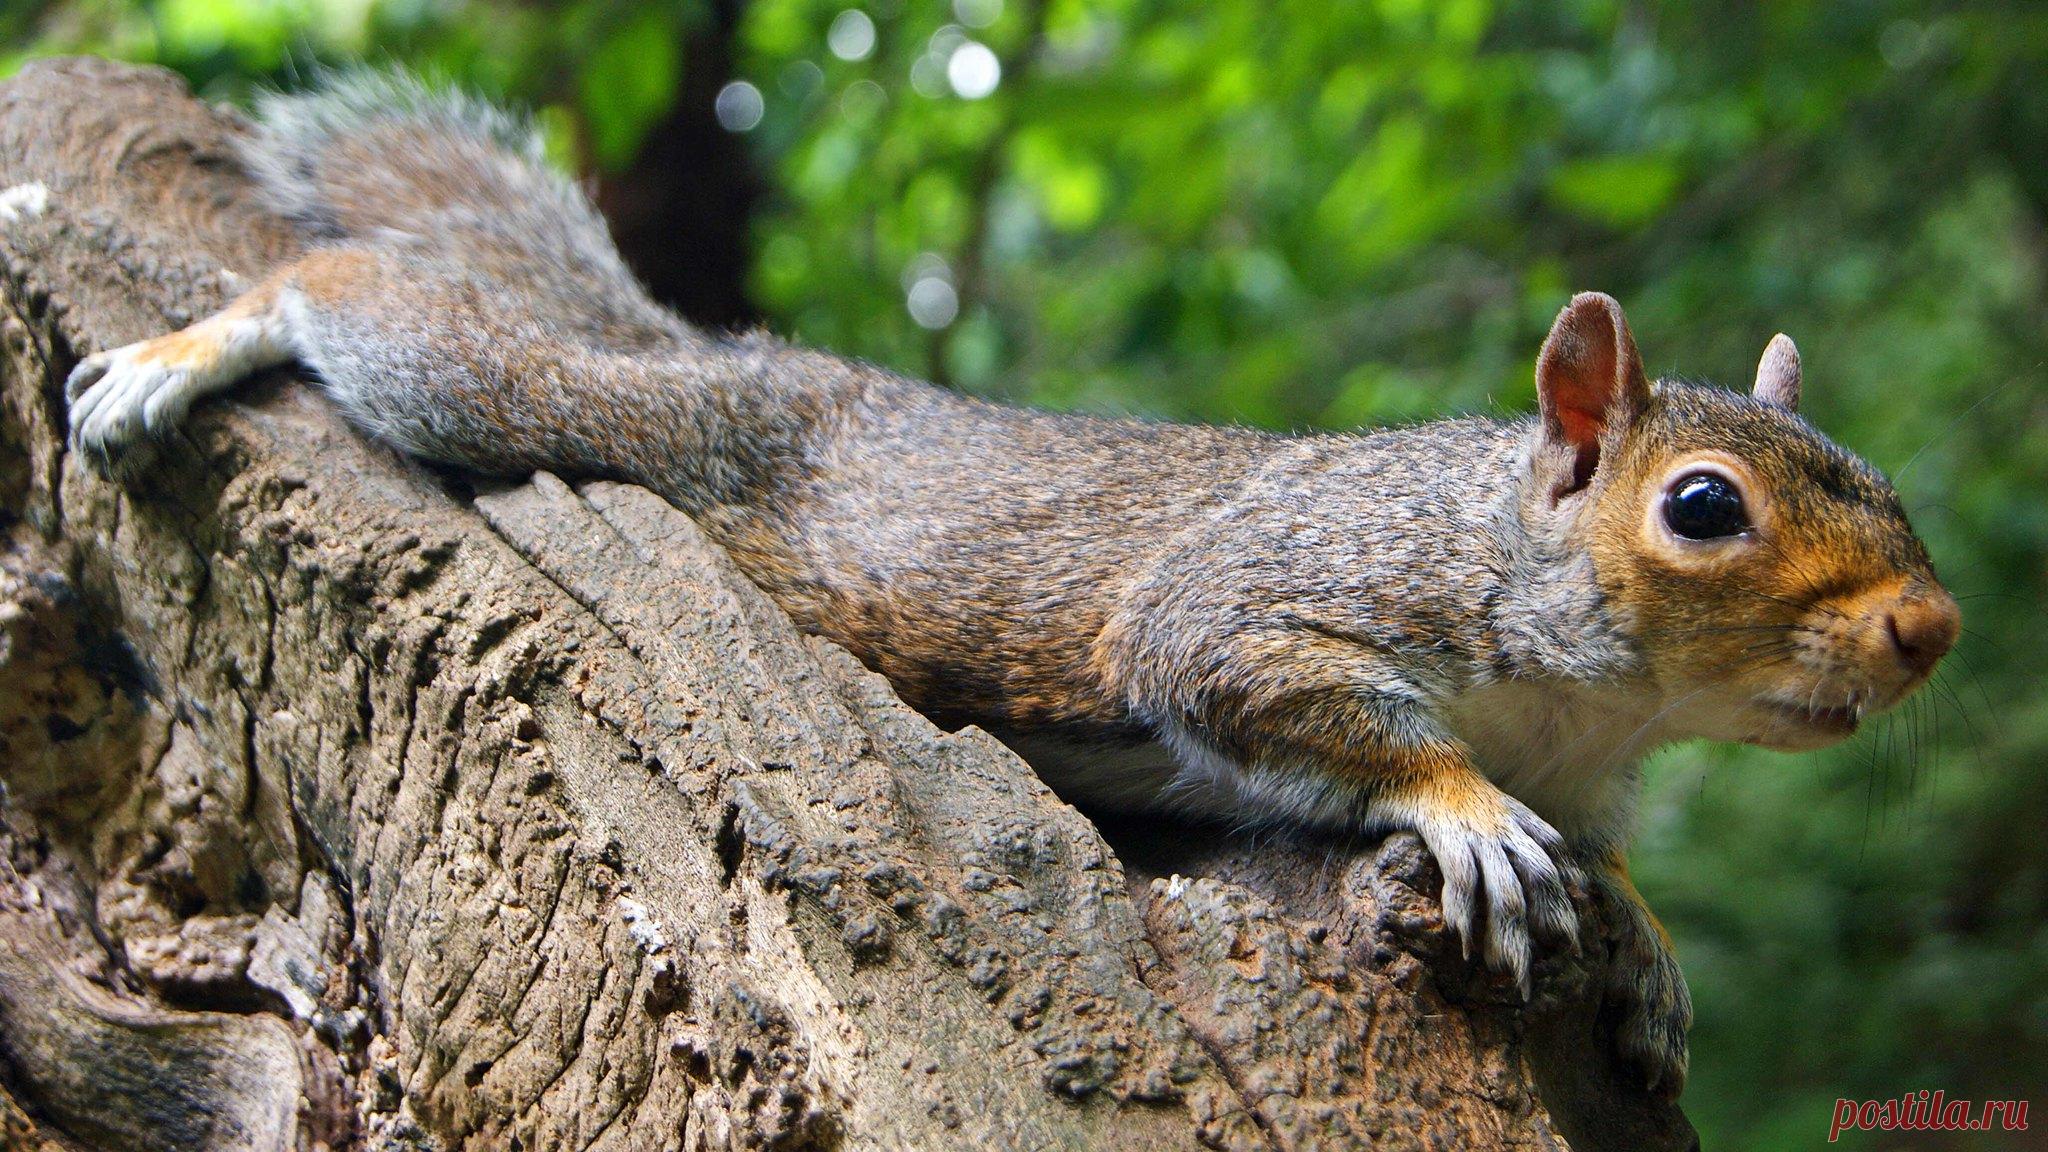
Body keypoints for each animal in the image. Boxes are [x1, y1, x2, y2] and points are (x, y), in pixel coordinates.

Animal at [59, 74, 1959, 1097]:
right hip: (560, 411)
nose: (1930, 629)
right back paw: (179, 352)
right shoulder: (1264, 591)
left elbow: (1620, 865)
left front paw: (1648, 943)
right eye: (1701, 507)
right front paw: (1468, 814)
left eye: (1881, 476)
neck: (1583, 693)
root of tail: (708, 352)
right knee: (349, 299)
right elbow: (1261, 686)